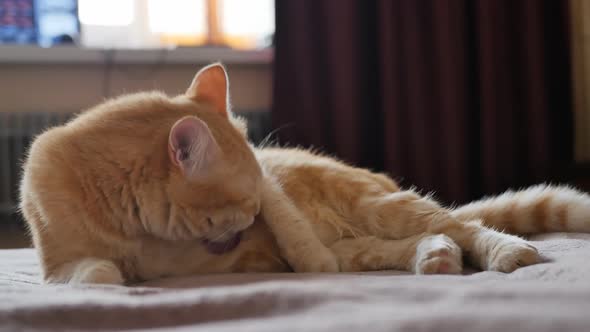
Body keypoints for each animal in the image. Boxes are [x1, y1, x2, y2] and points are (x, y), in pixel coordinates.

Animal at [20, 63, 590, 284]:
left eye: (254, 207)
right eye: (238, 209)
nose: (252, 222)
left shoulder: (272, 187)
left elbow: (298, 237)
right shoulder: (60, 264)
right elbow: (94, 272)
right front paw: (116, 280)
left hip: (379, 207)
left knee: (462, 224)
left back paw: (505, 251)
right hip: (365, 240)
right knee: (418, 241)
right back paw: (437, 258)